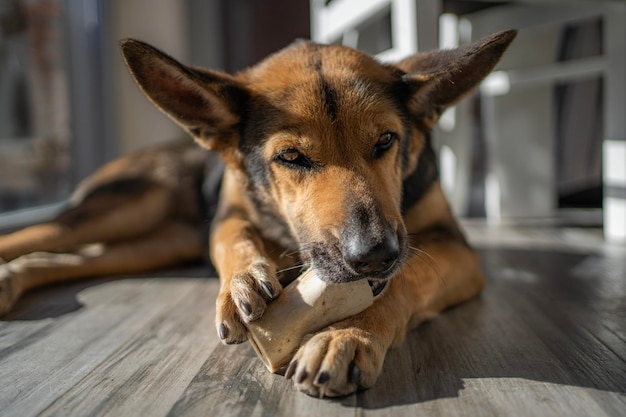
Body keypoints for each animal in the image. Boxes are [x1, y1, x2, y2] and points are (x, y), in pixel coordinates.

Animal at [0, 30, 516, 396]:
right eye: (291, 157)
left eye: (386, 140)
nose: (374, 255)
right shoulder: (229, 217)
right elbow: (235, 238)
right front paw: (241, 284)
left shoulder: (453, 249)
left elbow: (403, 280)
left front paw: (349, 334)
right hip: (121, 209)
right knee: (39, 235)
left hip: (157, 244)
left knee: (66, 258)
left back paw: (14, 279)